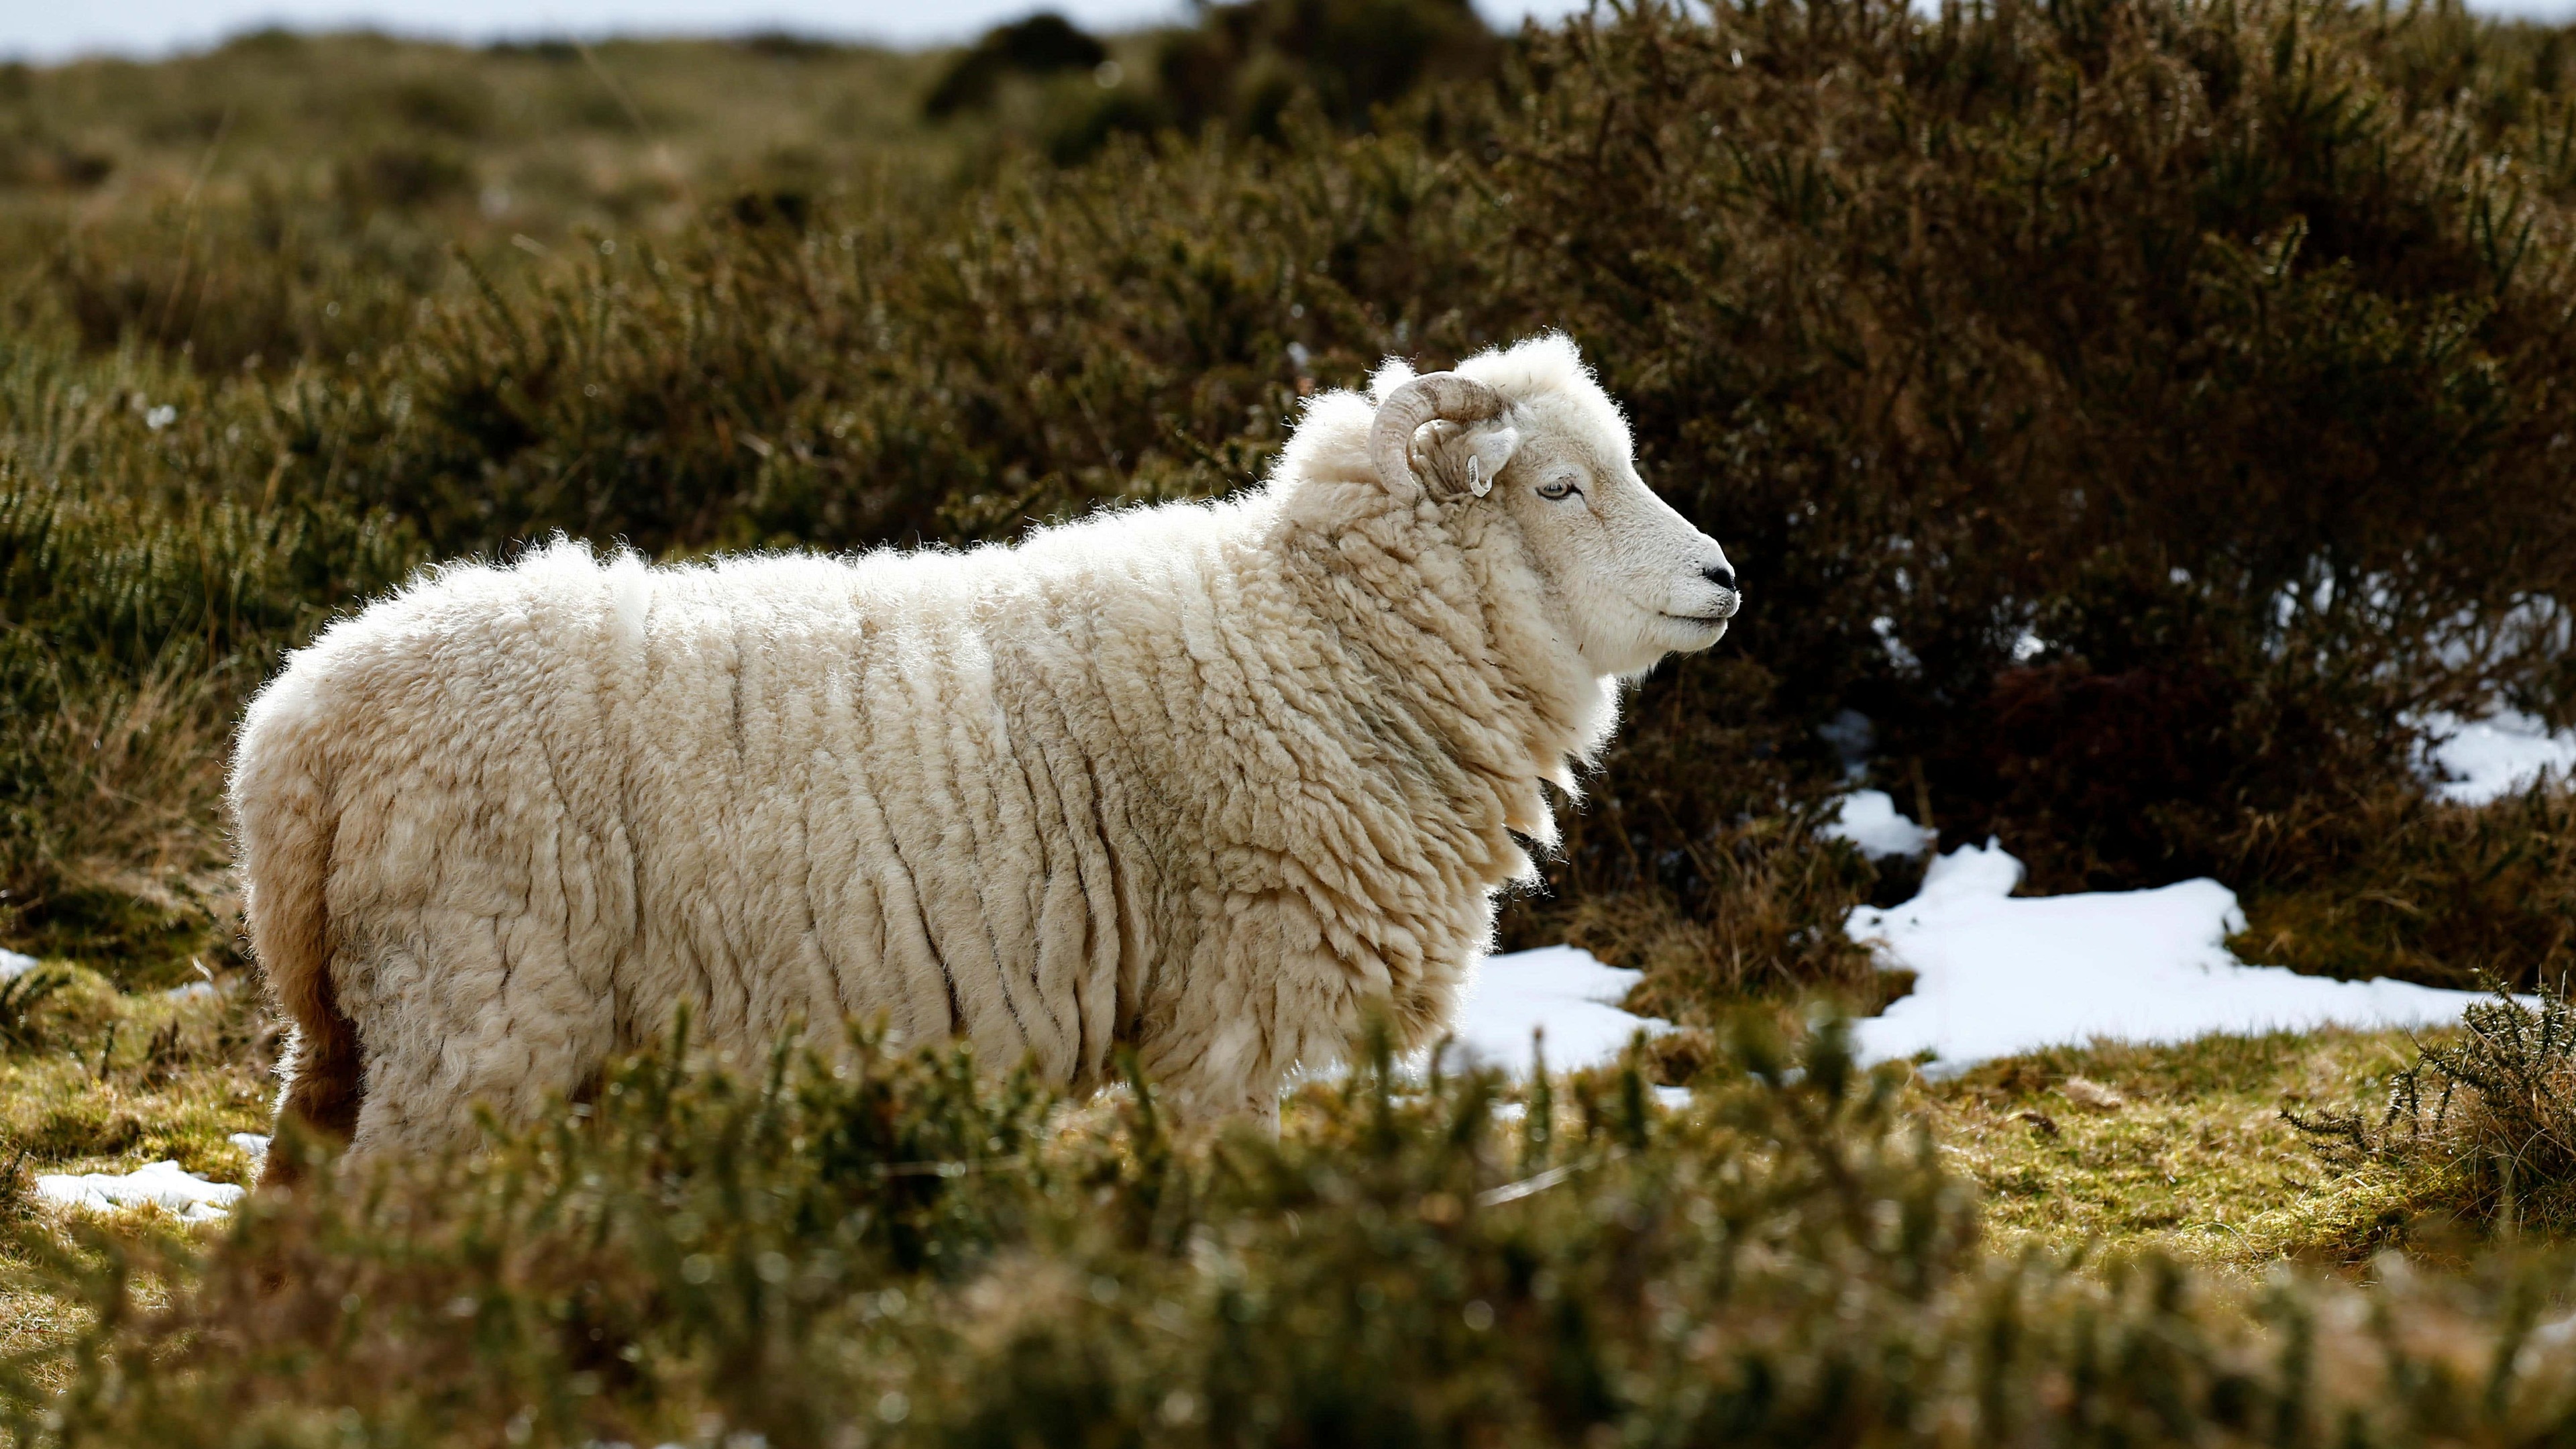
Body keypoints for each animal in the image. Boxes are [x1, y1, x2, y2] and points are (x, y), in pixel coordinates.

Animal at [229, 332, 1740, 1175]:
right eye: (1561, 487)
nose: (1725, 577)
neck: (1318, 641)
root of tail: (296, 733)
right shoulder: (1229, 1013)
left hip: (361, 1034)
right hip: (477, 1018)